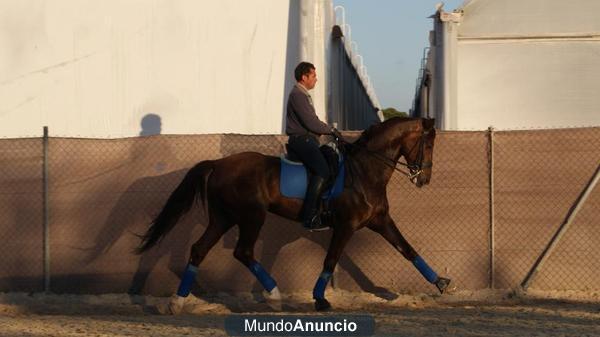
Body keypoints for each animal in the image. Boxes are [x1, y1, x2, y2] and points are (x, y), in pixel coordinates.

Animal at [135, 117, 450, 312]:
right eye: (428, 143)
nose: (424, 179)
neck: (363, 171)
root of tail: (218, 164)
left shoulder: (380, 221)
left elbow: (407, 249)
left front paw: (441, 283)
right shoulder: (346, 226)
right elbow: (330, 260)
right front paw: (320, 300)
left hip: (223, 218)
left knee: (199, 250)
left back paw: (177, 303)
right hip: (251, 217)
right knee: (243, 252)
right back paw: (274, 295)